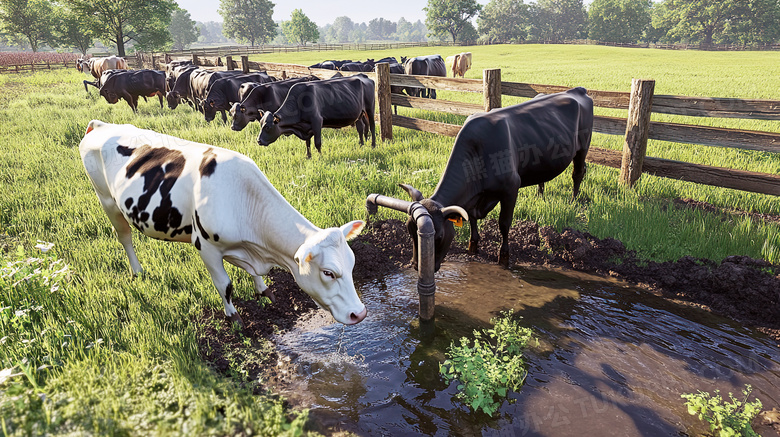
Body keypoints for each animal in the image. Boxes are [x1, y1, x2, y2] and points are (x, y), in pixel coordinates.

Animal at [79, 119, 368, 328]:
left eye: (353, 263)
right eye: (328, 273)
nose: (360, 313)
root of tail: (102, 125)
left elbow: (255, 275)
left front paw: (263, 290)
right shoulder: (205, 247)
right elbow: (225, 285)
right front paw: (234, 317)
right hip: (106, 199)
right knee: (124, 236)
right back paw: (137, 270)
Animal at [400, 86, 596, 270]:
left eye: (439, 236)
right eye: (410, 231)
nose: (417, 266)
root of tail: (576, 90)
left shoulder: (511, 188)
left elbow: (504, 224)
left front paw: (504, 257)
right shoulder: (473, 200)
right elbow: (471, 219)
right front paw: (473, 247)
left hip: (583, 146)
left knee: (578, 173)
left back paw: (573, 201)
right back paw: (540, 195)